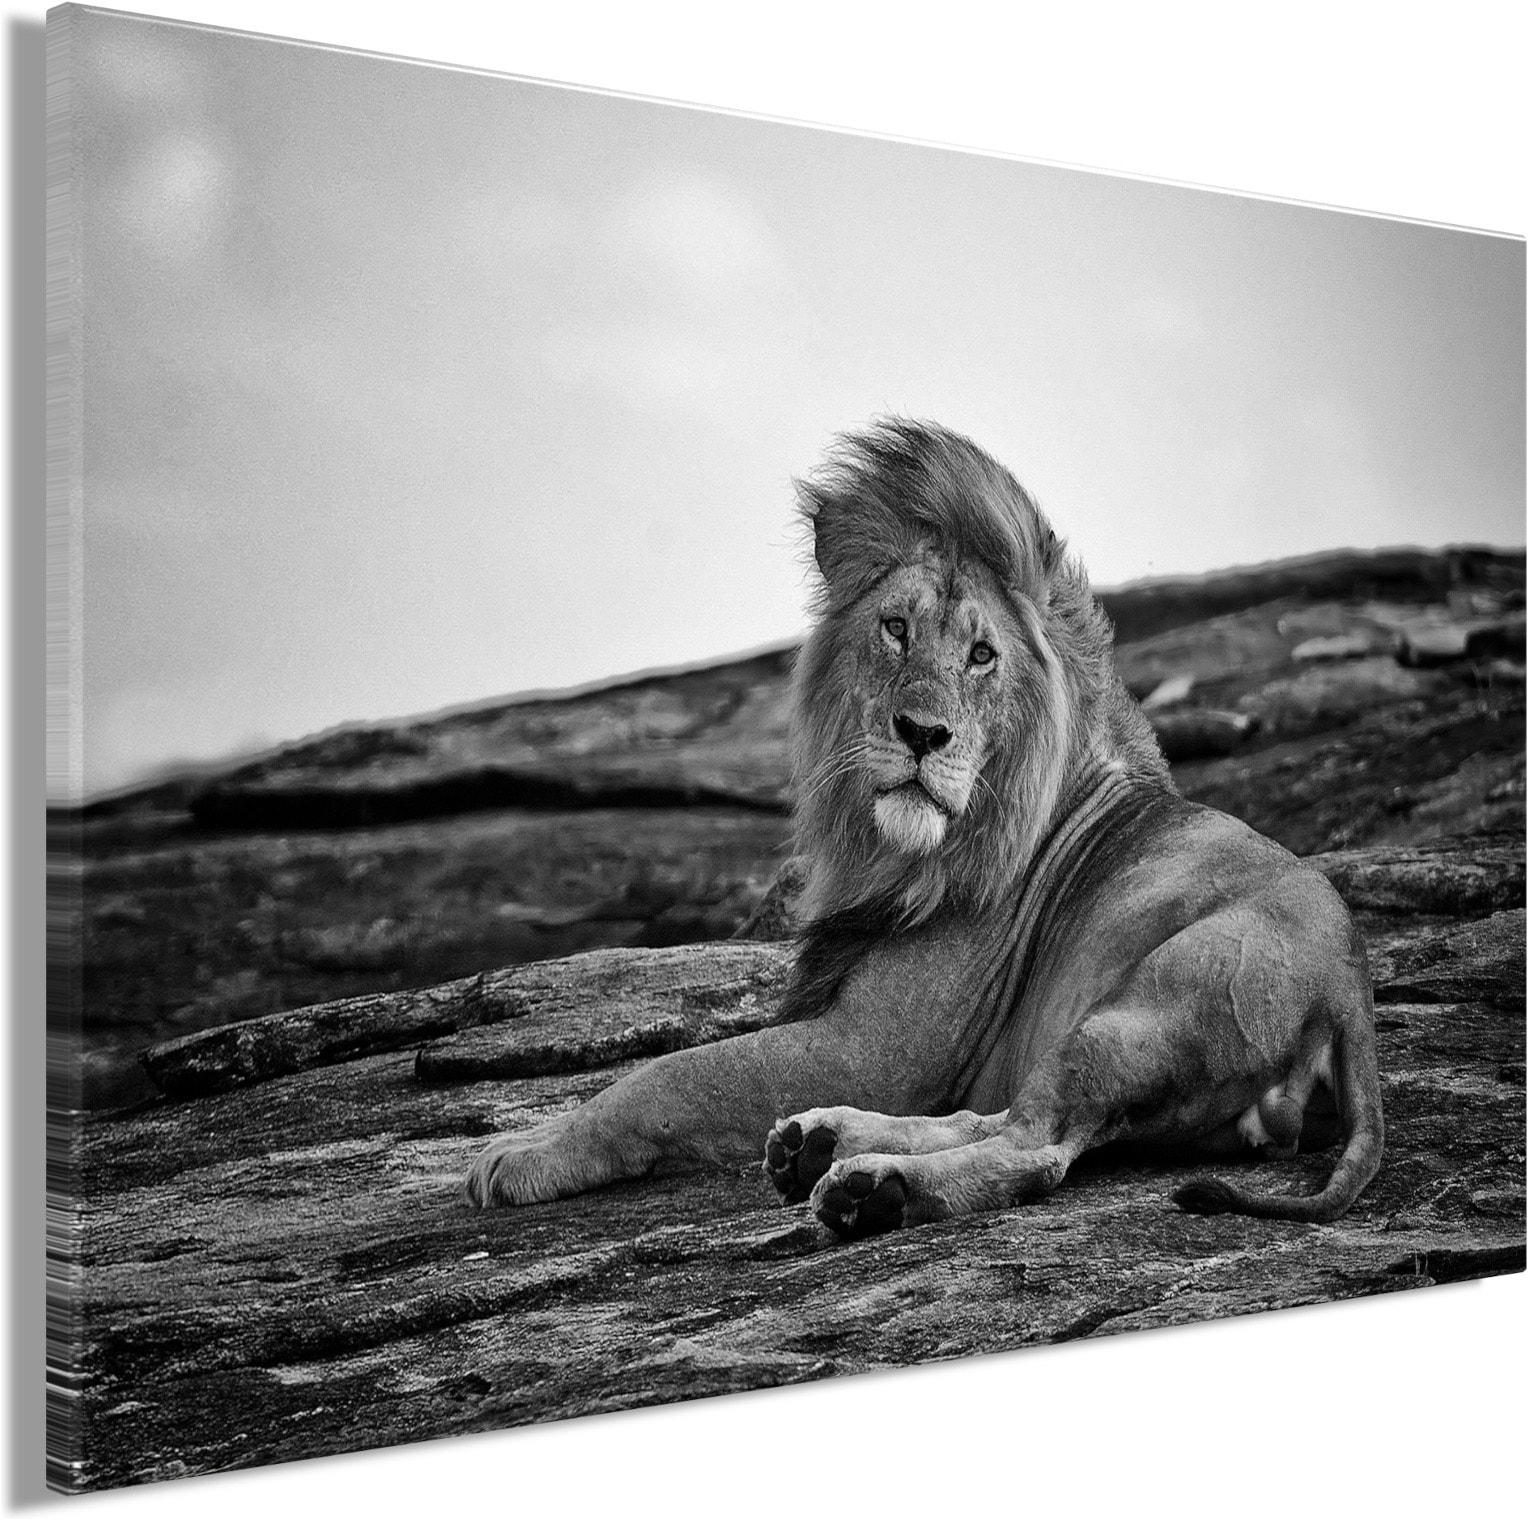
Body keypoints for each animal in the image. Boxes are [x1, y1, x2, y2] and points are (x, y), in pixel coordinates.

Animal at [466, 419, 1382, 1238]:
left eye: (982, 655)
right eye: (895, 628)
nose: (922, 733)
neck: (891, 855)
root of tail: (1350, 993)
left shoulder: (876, 1049)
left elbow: (665, 1076)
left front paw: (521, 1152)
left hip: (1141, 1012)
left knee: (1033, 1148)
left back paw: (874, 1190)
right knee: (999, 1115)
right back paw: (824, 1141)